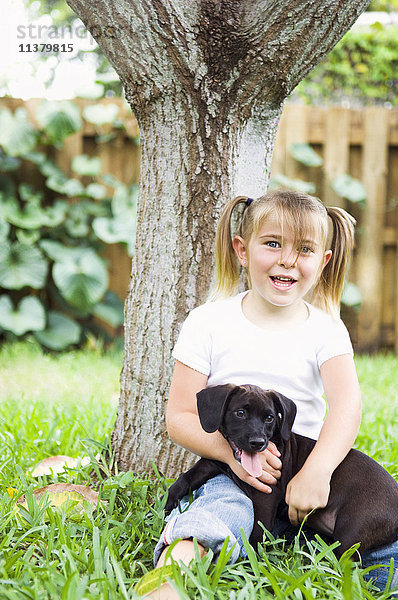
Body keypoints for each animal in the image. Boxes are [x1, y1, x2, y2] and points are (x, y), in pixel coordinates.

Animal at [165, 384, 398, 556]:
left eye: (270, 418)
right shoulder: (215, 461)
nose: (258, 442)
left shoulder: (266, 497)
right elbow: (185, 479)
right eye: (240, 413)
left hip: (351, 534)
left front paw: (252, 566)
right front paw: (167, 506)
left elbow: (257, 535)